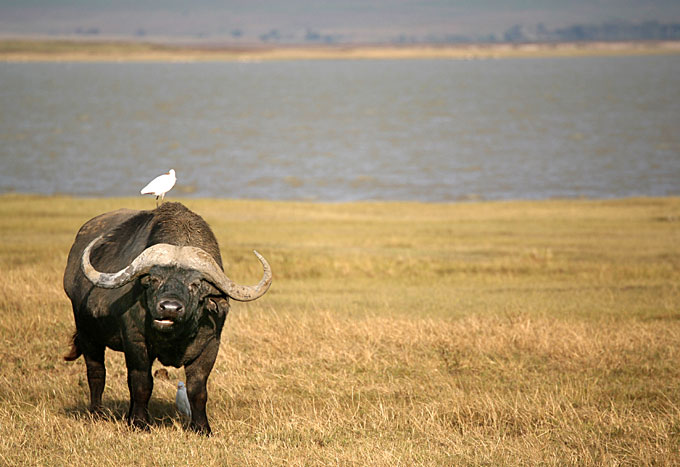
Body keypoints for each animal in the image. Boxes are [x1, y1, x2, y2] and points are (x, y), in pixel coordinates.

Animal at [63, 202, 271, 434]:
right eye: (154, 279)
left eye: (195, 284)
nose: (170, 308)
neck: (176, 336)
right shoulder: (136, 341)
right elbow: (142, 383)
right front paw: (140, 423)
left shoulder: (210, 344)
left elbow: (197, 389)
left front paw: (201, 427)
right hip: (87, 334)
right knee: (96, 373)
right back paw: (97, 413)